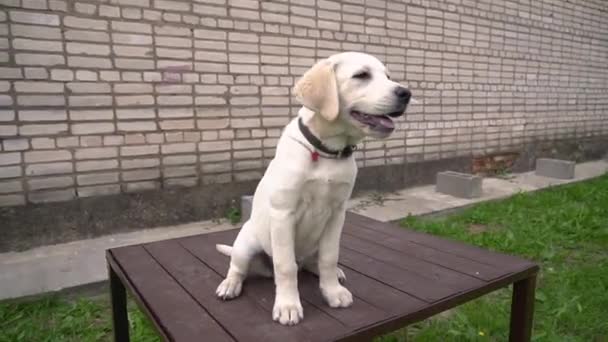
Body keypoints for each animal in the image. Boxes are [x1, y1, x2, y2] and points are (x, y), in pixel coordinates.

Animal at [216, 52, 410, 324]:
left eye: (388, 76)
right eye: (361, 75)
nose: (406, 93)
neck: (326, 151)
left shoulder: (337, 213)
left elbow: (330, 257)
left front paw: (332, 292)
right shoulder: (283, 214)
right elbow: (285, 266)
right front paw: (288, 306)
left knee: (312, 263)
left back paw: (331, 273)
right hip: (246, 242)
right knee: (240, 267)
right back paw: (230, 285)